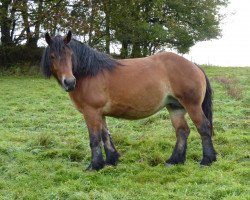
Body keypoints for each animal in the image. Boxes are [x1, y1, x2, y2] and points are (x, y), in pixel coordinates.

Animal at [41, 30, 217, 170]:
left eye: (70, 55)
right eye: (52, 56)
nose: (69, 82)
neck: (89, 73)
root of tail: (194, 66)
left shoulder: (91, 112)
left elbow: (95, 138)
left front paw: (94, 165)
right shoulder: (100, 113)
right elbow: (105, 136)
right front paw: (111, 161)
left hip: (192, 105)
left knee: (203, 127)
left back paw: (207, 160)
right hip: (175, 107)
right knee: (182, 131)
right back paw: (175, 160)